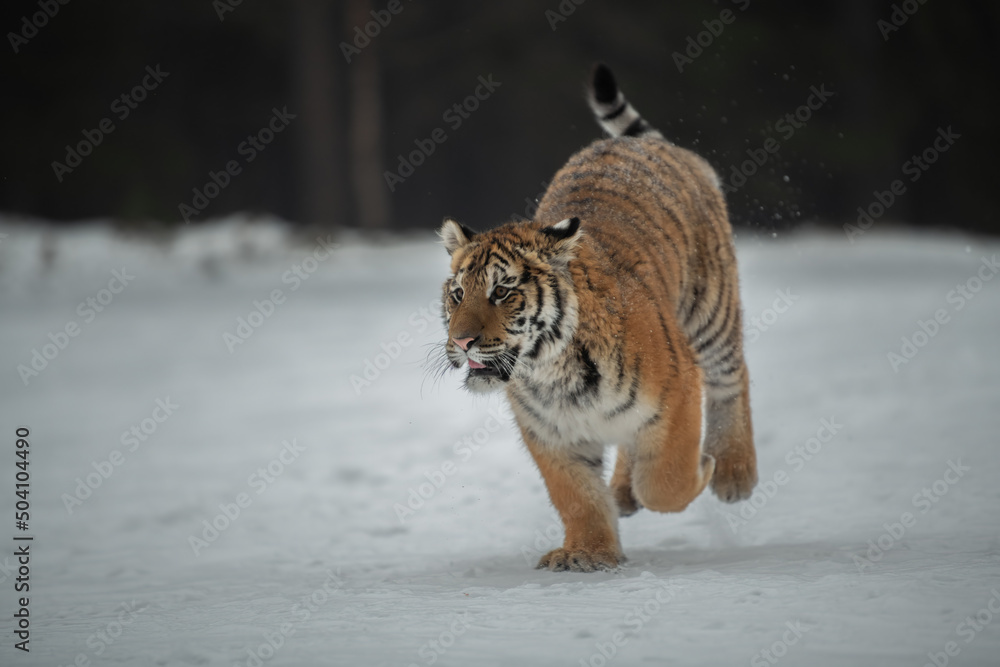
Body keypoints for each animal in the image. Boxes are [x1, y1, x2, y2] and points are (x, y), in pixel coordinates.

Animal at [436, 63, 758, 572]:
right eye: (457, 294)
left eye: (501, 291)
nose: (461, 341)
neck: (551, 372)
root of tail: (649, 145)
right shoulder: (550, 435)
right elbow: (577, 496)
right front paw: (590, 553)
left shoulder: (679, 387)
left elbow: (664, 480)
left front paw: (700, 471)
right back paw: (623, 493)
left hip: (711, 311)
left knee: (732, 377)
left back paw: (732, 474)